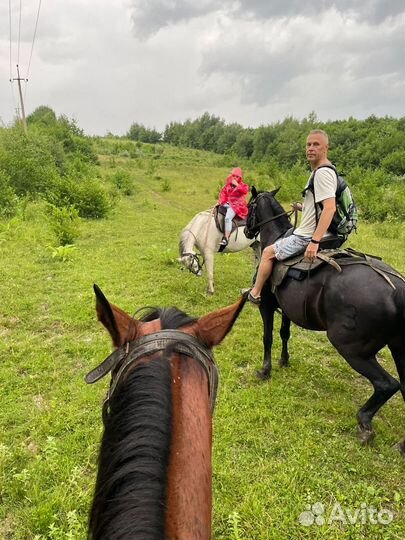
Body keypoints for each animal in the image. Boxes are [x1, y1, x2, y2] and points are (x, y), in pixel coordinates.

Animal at [245, 188, 404, 454]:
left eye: (248, 207)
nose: (246, 230)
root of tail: (398, 289)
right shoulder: (286, 309)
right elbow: (284, 334)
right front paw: (284, 361)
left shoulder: (266, 306)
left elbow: (268, 337)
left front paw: (265, 370)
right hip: (398, 348)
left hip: (351, 348)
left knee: (387, 384)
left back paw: (365, 424)